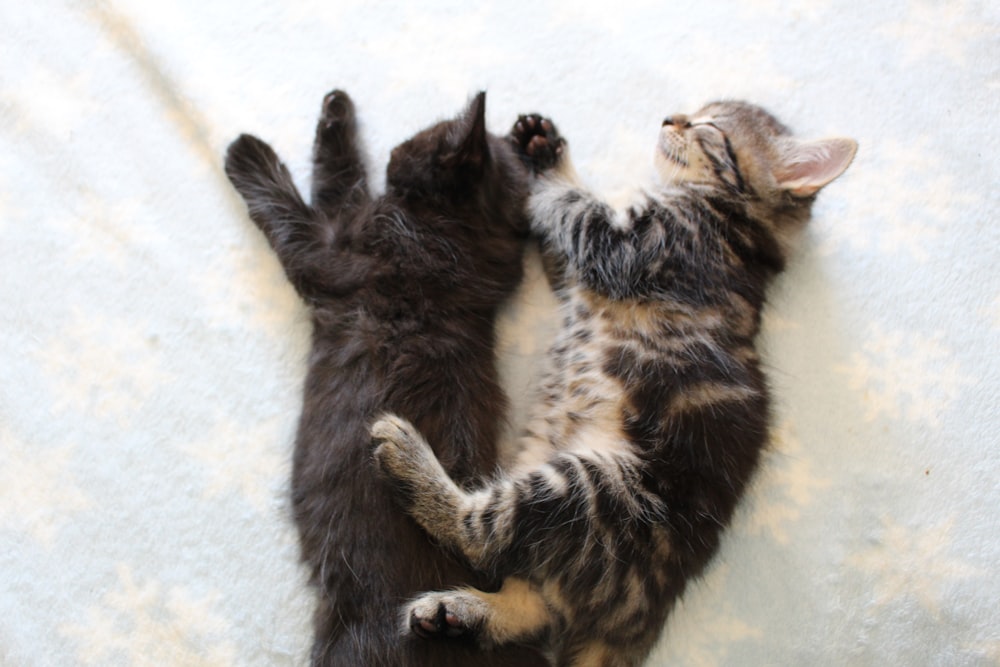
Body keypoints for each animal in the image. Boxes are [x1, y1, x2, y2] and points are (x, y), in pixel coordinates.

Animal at [225, 90, 548, 667]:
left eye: (415, 140)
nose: (394, 151)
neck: (460, 234)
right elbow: (341, 180)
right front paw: (337, 112)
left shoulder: (328, 254)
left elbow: (307, 199)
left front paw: (250, 154)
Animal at [372, 102, 856, 664]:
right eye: (697, 110)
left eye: (709, 126)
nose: (672, 118)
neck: (735, 228)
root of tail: (643, 613)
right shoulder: (575, 274)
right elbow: (558, 231)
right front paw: (538, 144)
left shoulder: (632, 246)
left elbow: (574, 207)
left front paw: (549, 160)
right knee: (537, 607)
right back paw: (456, 614)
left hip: (592, 489)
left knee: (484, 534)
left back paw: (411, 461)